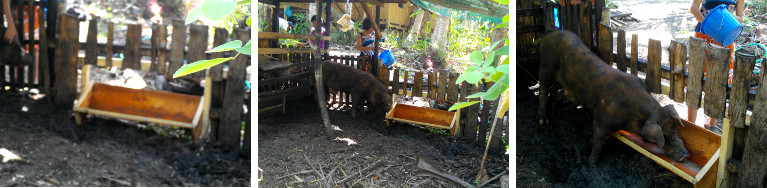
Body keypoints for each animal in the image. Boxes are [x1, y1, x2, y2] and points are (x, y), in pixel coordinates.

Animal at [536, 30, 688, 166]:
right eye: (664, 135)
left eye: (674, 128)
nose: (685, 155)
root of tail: (549, 34)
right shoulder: (601, 119)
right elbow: (598, 143)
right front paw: (590, 163)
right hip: (545, 66)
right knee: (543, 90)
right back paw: (543, 121)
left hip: (559, 78)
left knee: (554, 90)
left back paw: (555, 113)